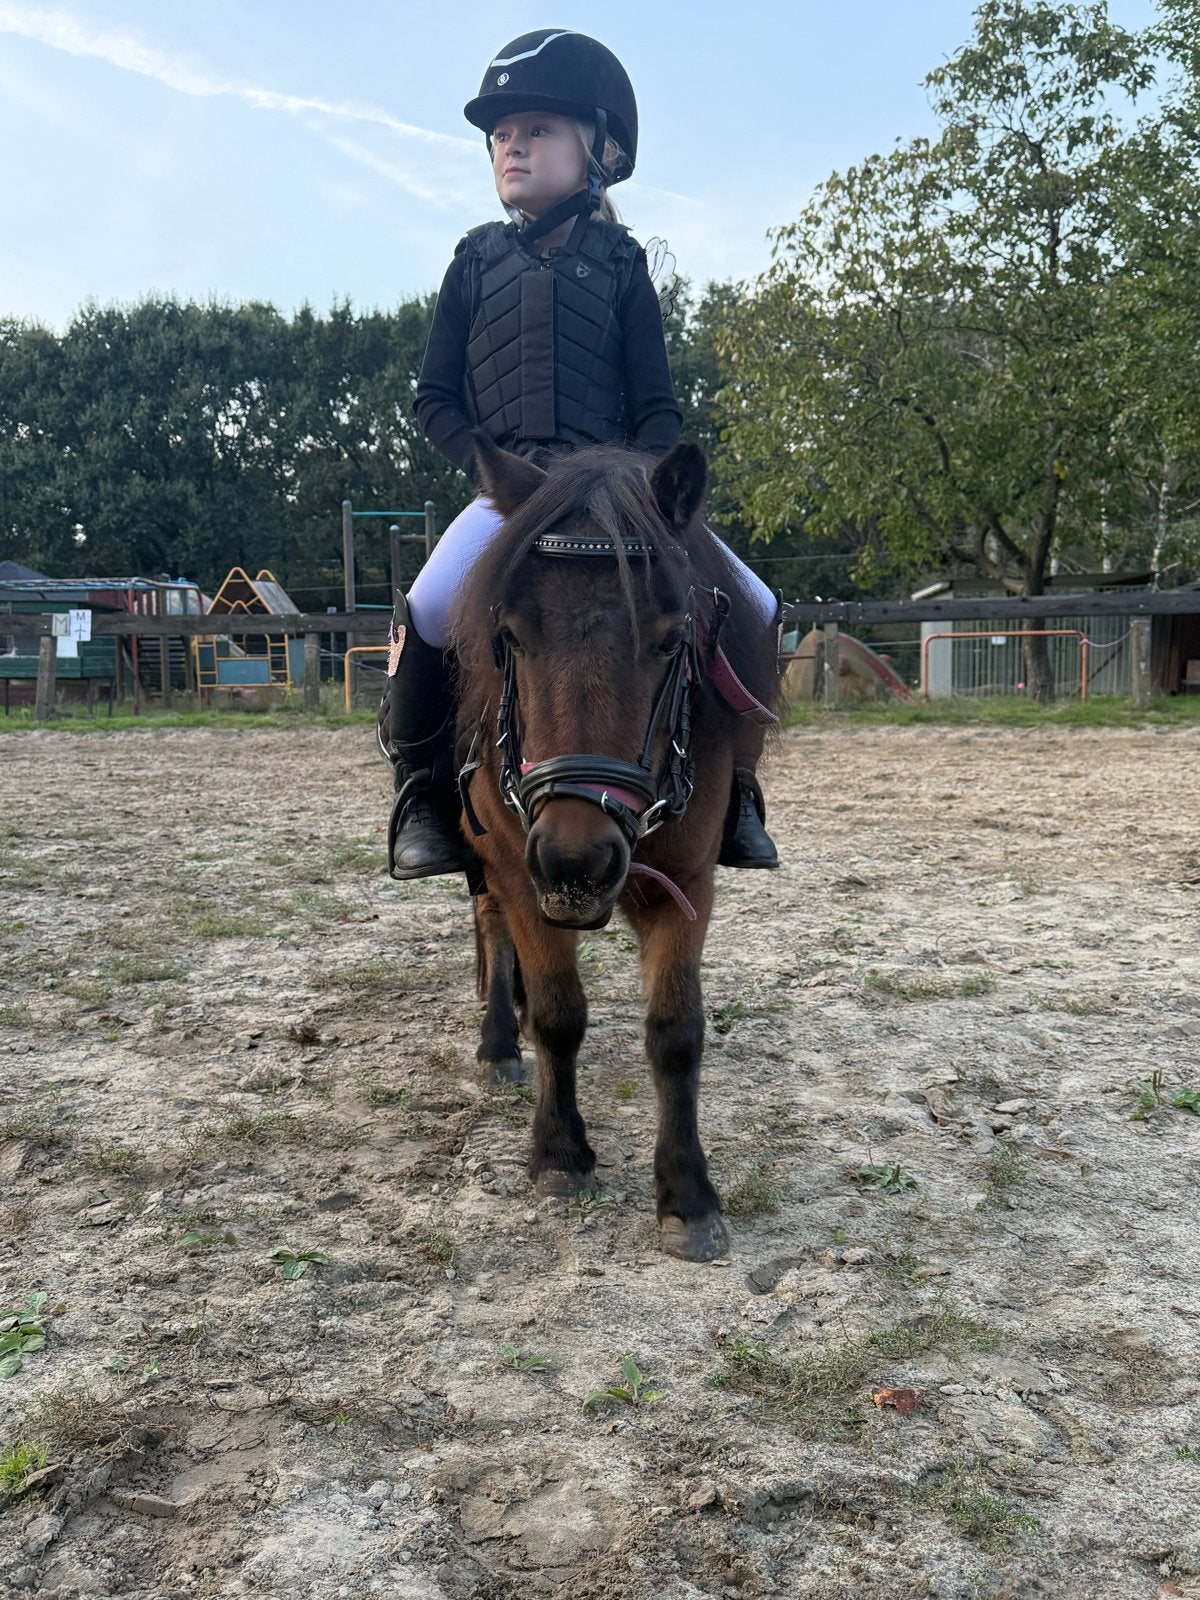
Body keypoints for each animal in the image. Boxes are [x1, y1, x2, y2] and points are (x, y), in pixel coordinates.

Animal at [448, 434, 780, 1262]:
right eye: (511, 635)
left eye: (670, 639)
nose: (577, 864)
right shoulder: (518, 870)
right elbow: (560, 1014)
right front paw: (561, 1155)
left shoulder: (686, 885)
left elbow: (676, 1034)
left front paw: (688, 1198)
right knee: (493, 930)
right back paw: (500, 1046)